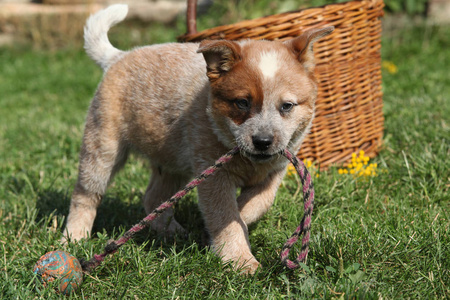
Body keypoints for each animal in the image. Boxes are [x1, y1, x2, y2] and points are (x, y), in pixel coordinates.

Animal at [64, 4, 334, 274]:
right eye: (242, 103)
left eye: (287, 106)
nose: (262, 141)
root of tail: (118, 57)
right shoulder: (214, 176)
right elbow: (226, 215)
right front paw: (241, 260)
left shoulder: (272, 174)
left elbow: (255, 205)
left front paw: (221, 232)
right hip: (103, 147)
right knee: (85, 195)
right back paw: (74, 237)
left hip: (170, 161)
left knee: (154, 198)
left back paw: (172, 232)